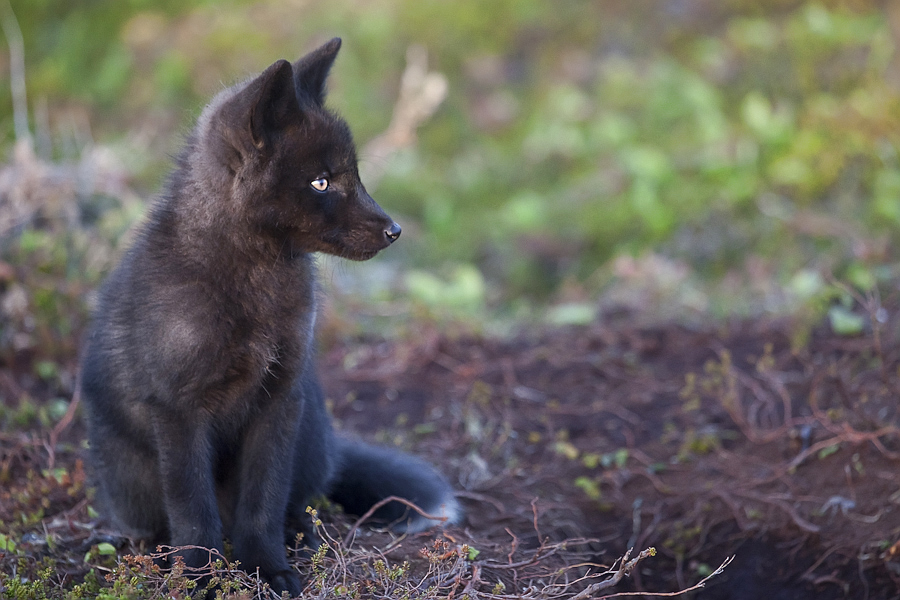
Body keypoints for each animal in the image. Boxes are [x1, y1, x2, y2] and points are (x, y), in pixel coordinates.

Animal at [79, 39, 458, 596]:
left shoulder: (278, 399)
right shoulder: (178, 410)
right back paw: (156, 552)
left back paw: (302, 536)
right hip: (131, 480)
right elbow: (193, 511)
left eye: (355, 175)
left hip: (309, 431)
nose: (395, 230)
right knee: (161, 523)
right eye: (321, 181)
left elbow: (263, 503)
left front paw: (267, 570)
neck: (253, 289)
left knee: (300, 501)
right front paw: (202, 578)